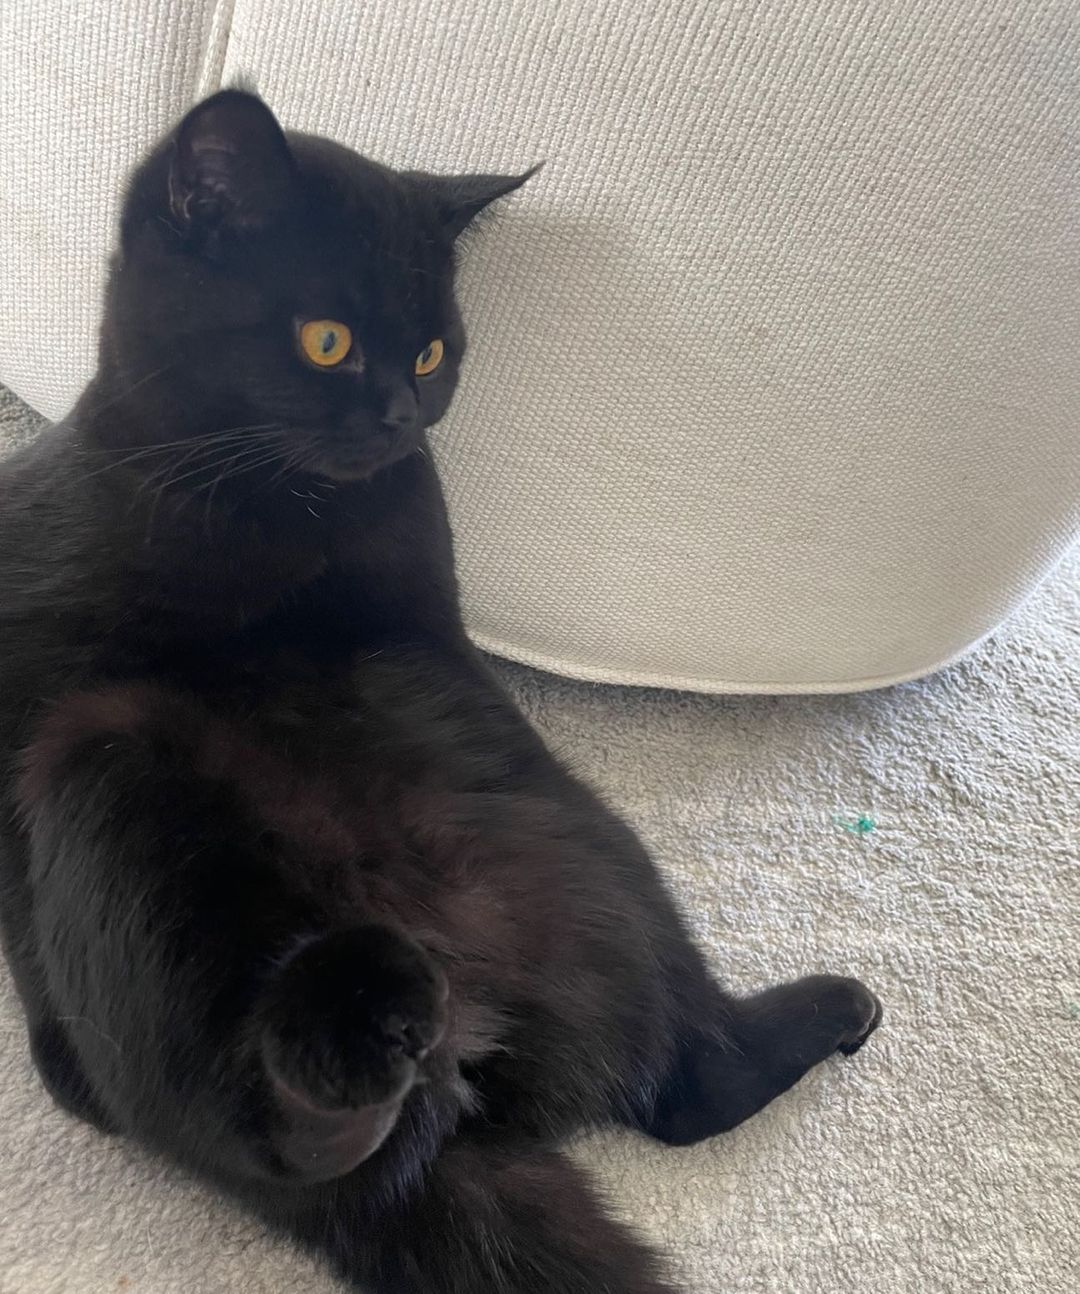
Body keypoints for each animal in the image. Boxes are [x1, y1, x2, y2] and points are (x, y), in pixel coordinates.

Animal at [0, 90, 882, 1293]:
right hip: (104, 766)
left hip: (580, 844)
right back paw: (354, 1026)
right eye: (326, 340)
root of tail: (470, 1073)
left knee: (683, 1086)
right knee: (279, 1137)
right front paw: (51, 1046)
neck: (272, 517)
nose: (397, 416)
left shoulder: (425, 641)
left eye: (429, 352)